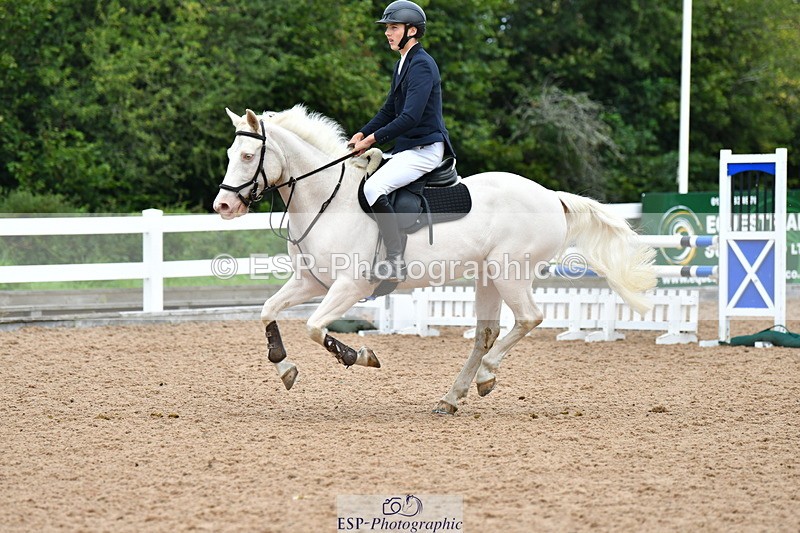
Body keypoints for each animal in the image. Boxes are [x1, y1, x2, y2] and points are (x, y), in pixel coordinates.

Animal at [213, 104, 656, 414]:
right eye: (230, 153)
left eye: (249, 156)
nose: (223, 206)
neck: (326, 198)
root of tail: (552, 196)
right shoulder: (310, 282)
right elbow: (268, 311)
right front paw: (285, 369)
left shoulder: (349, 287)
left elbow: (313, 328)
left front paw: (361, 356)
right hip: (487, 276)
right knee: (486, 334)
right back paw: (453, 397)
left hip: (509, 272)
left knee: (529, 318)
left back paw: (487, 375)